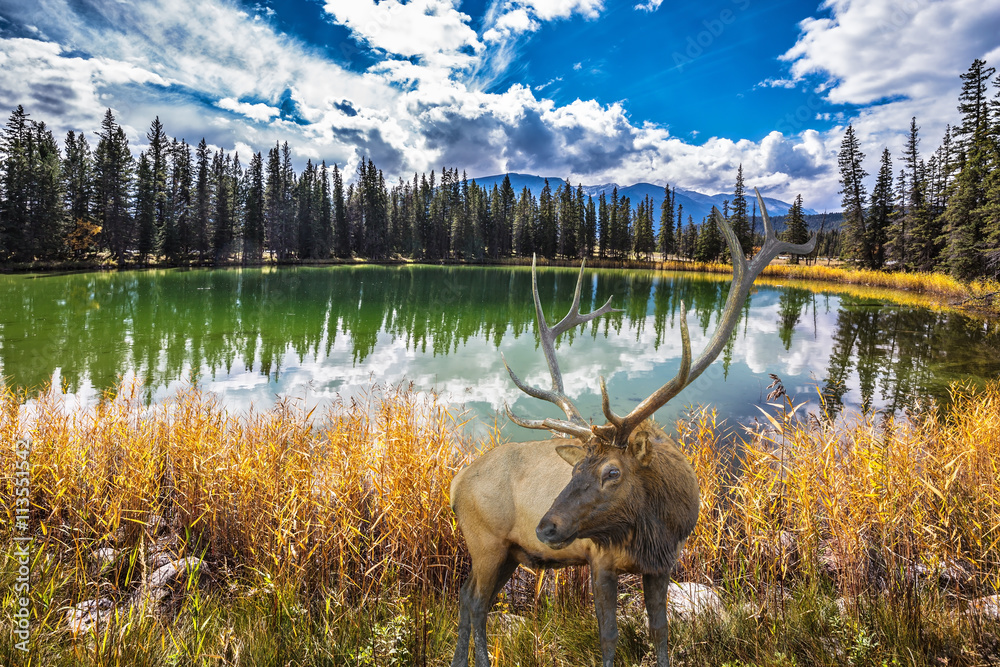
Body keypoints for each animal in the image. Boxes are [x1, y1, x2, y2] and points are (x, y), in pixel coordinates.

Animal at [449, 189, 816, 667]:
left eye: (612, 472)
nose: (546, 527)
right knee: (475, 603)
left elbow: (661, 630)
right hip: (486, 541)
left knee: (466, 598)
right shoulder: (599, 558)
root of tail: (455, 483)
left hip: (507, 551)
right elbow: (608, 637)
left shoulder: (664, 564)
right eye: (574, 470)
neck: (654, 527)